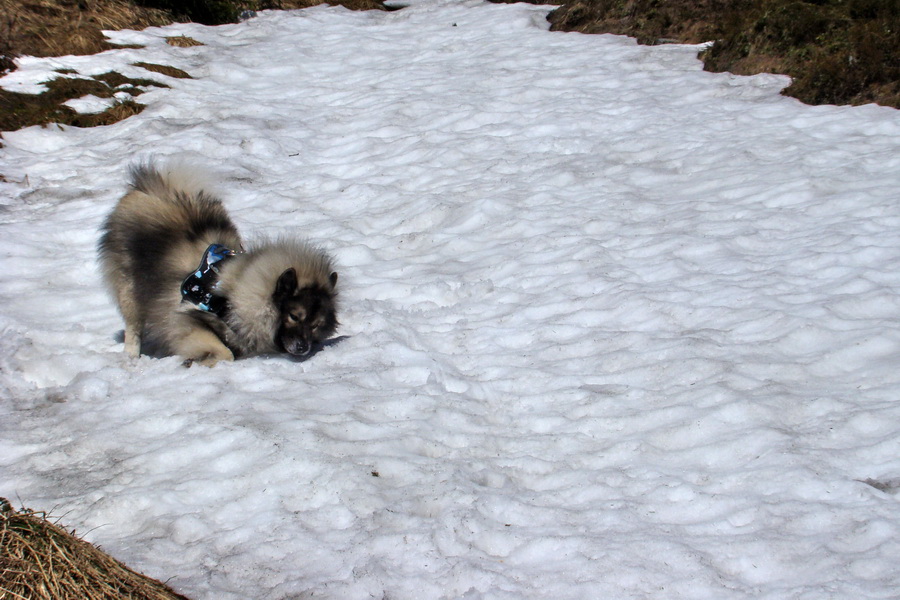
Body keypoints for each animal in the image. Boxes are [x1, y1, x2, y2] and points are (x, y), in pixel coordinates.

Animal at [97, 162, 338, 366]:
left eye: (315, 325)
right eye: (294, 316)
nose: (303, 348)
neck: (238, 290)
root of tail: (151, 188)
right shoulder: (188, 316)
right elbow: (225, 352)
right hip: (129, 289)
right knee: (133, 326)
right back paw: (131, 356)